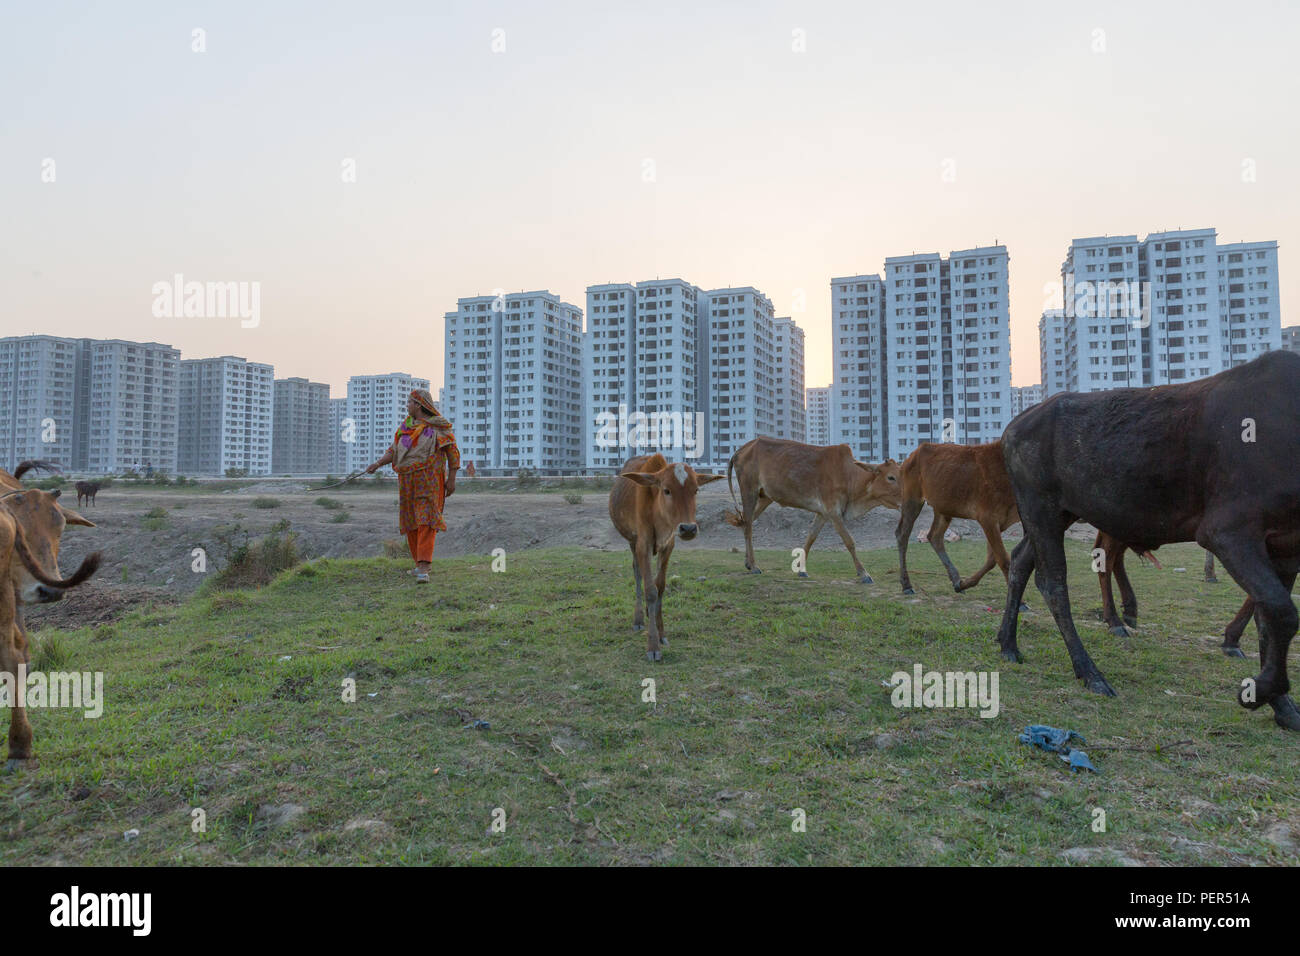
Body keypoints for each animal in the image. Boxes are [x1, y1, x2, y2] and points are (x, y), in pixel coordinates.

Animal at [605, 452, 728, 660]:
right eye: (666, 490)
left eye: (696, 490)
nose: (688, 528)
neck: (658, 514)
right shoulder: (643, 545)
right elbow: (650, 590)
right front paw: (653, 645)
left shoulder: (668, 545)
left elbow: (660, 587)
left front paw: (661, 633)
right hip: (631, 541)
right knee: (637, 573)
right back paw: (639, 618)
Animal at [728, 437, 899, 580]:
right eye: (891, 477)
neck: (849, 475)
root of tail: (741, 450)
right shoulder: (833, 512)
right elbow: (849, 541)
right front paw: (863, 573)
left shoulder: (823, 514)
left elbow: (810, 538)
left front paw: (801, 569)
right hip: (749, 491)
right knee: (748, 527)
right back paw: (754, 566)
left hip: (765, 498)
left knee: (745, 523)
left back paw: (748, 563)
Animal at [993, 351, 1300, 733]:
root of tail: (1015, 426)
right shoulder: (1227, 532)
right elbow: (1283, 612)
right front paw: (1262, 691)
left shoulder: (1286, 547)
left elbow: (1269, 616)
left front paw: (1282, 705)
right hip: (1041, 509)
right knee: (1053, 584)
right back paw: (1090, 672)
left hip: (1057, 514)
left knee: (1021, 561)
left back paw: (1009, 643)